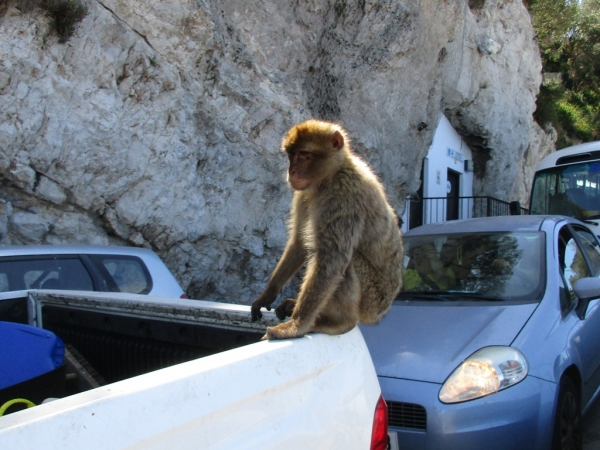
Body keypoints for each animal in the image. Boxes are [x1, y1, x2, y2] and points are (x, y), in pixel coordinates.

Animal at [250, 119, 404, 342]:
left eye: (304, 155)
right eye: (291, 155)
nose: (291, 171)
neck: (332, 174)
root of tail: (382, 311)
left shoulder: (345, 195)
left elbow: (330, 259)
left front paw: (296, 326)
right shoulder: (304, 194)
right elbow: (299, 244)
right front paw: (267, 295)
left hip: (373, 299)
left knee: (348, 261)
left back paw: (339, 322)